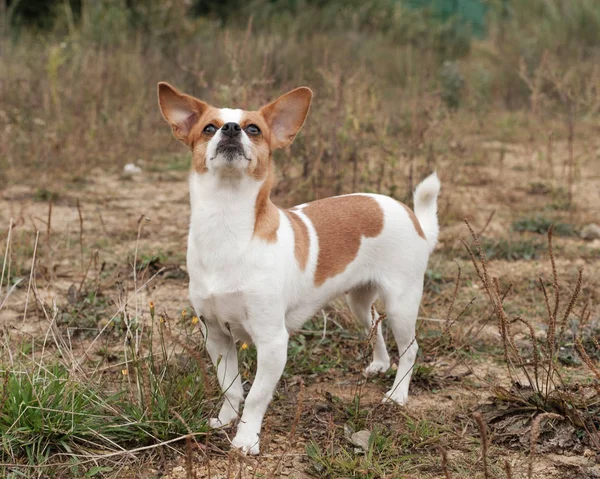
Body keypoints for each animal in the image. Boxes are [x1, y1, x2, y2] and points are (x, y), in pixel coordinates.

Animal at [157, 84, 440, 456]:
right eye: (208, 128)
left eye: (254, 129)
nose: (230, 129)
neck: (226, 225)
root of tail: (410, 214)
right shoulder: (217, 336)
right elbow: (230, 386)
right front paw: (226, 420)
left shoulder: (273, 343)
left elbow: (256, 397)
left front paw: (246, 439)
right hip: (359, 303)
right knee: (375, 327)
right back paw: (380, 364)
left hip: (401, 305)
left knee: (410, 350)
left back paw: (397, 394)